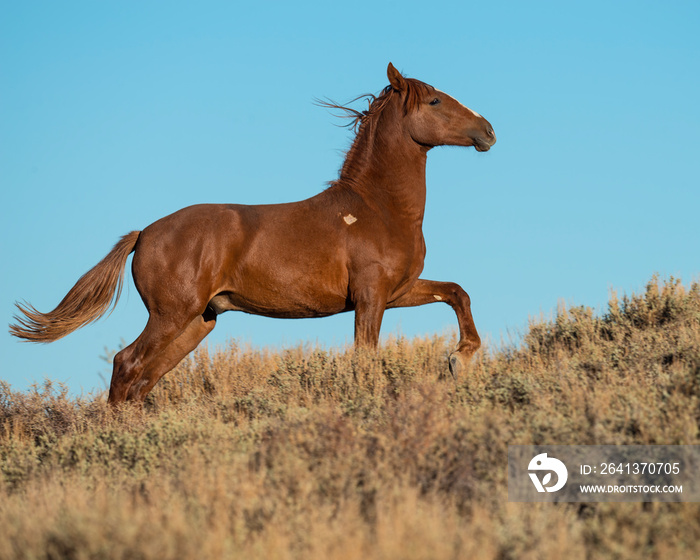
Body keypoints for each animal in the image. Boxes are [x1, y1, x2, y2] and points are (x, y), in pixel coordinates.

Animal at [8, 63, 494, 402]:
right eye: (434, 102)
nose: (487, 130)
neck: (377, 209)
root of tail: (144, 233)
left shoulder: (399, 291)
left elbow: (457, 292)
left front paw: (460, 360)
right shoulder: (371, 297)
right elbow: (365, 359)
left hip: (198, 323)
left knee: (142, 379)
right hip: (171, 316)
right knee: (126, 365)